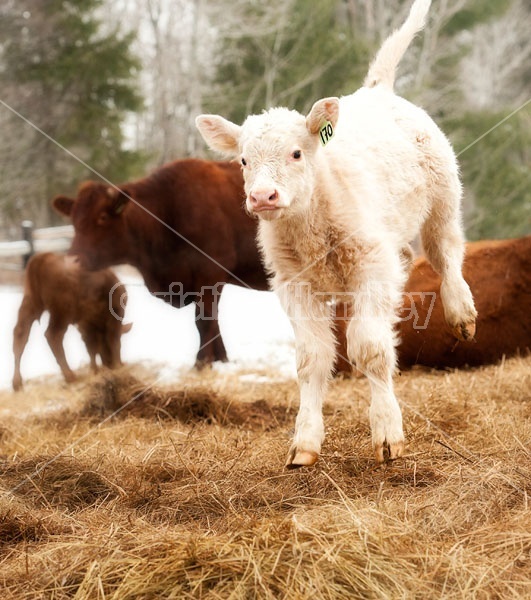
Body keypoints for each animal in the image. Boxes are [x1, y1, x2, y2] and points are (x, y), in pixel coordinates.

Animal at [12, 252, 131, 390]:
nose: (109, 363)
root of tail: (44, 257)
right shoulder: (114, 317)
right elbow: (113, 341)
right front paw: (118, 365)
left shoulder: (86, 324)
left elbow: (92, 347)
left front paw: (95, 369)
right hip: (61, 314)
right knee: (53, 336)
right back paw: (70, 376)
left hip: (30, 303)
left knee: (20, 334)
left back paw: (17, 383)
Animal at [51, 158, 268, 366]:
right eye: (73, 220)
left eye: (102, 217)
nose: (71, 261)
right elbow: (212, 322)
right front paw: (221, 360)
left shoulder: (210, 273)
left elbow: (205, 320)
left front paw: (200, 363)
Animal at [196, 0, 478, 468]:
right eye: (243, 160)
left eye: (296, 153)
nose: (263, 196)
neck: (312, 222)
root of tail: (376, 90)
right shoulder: (294, 285)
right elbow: (312, 359)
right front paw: (304, 442)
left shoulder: (371, 271)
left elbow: (369, 348)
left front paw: (387, 433)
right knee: (412, 258)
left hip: (442, 200)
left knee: (446, 253)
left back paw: (461, 312)